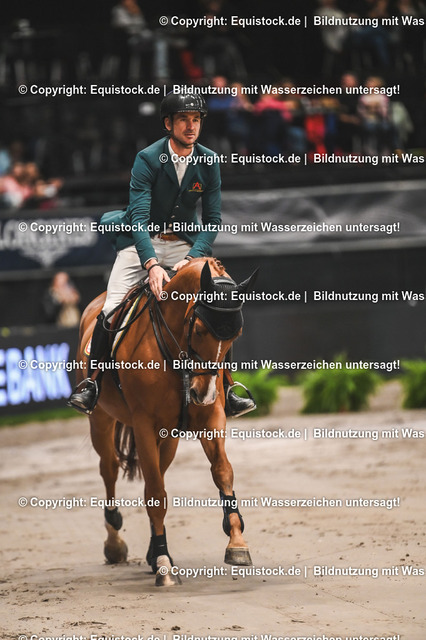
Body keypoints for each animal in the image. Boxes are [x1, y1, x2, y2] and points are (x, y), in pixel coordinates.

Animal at [75, 257, 257, 586]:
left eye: (234, 337)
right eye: (199, 329)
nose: (202, 394)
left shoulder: (211, 418)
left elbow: (222, 472)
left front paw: (237, 542)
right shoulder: (144, 424)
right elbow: (156, 495)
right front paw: (162, 564)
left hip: (169, 435)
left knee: (155, 472)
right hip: (103, 420)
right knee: (110, 469)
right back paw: (115, 544)